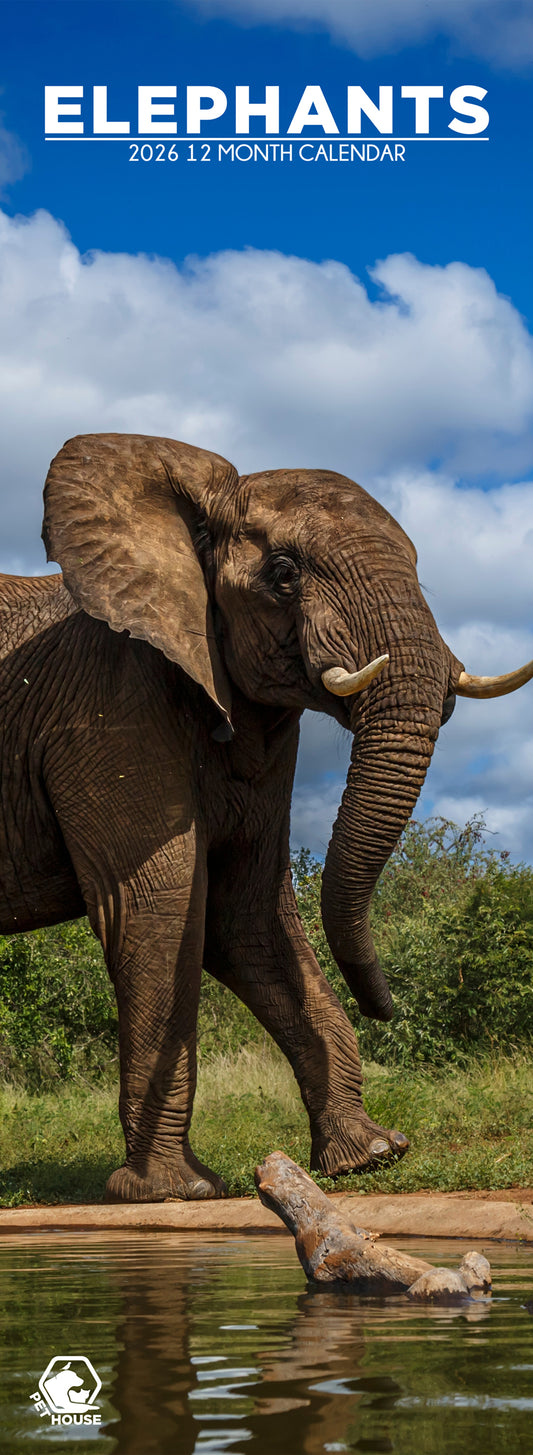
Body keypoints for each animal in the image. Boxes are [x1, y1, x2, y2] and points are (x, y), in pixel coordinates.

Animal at [0, 432, 531, 1203]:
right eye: (283, 574)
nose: (389, 1006)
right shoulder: (106, 709)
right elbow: (160, 905)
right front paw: (174, 1191)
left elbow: (245, 912)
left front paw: (371, 1156)